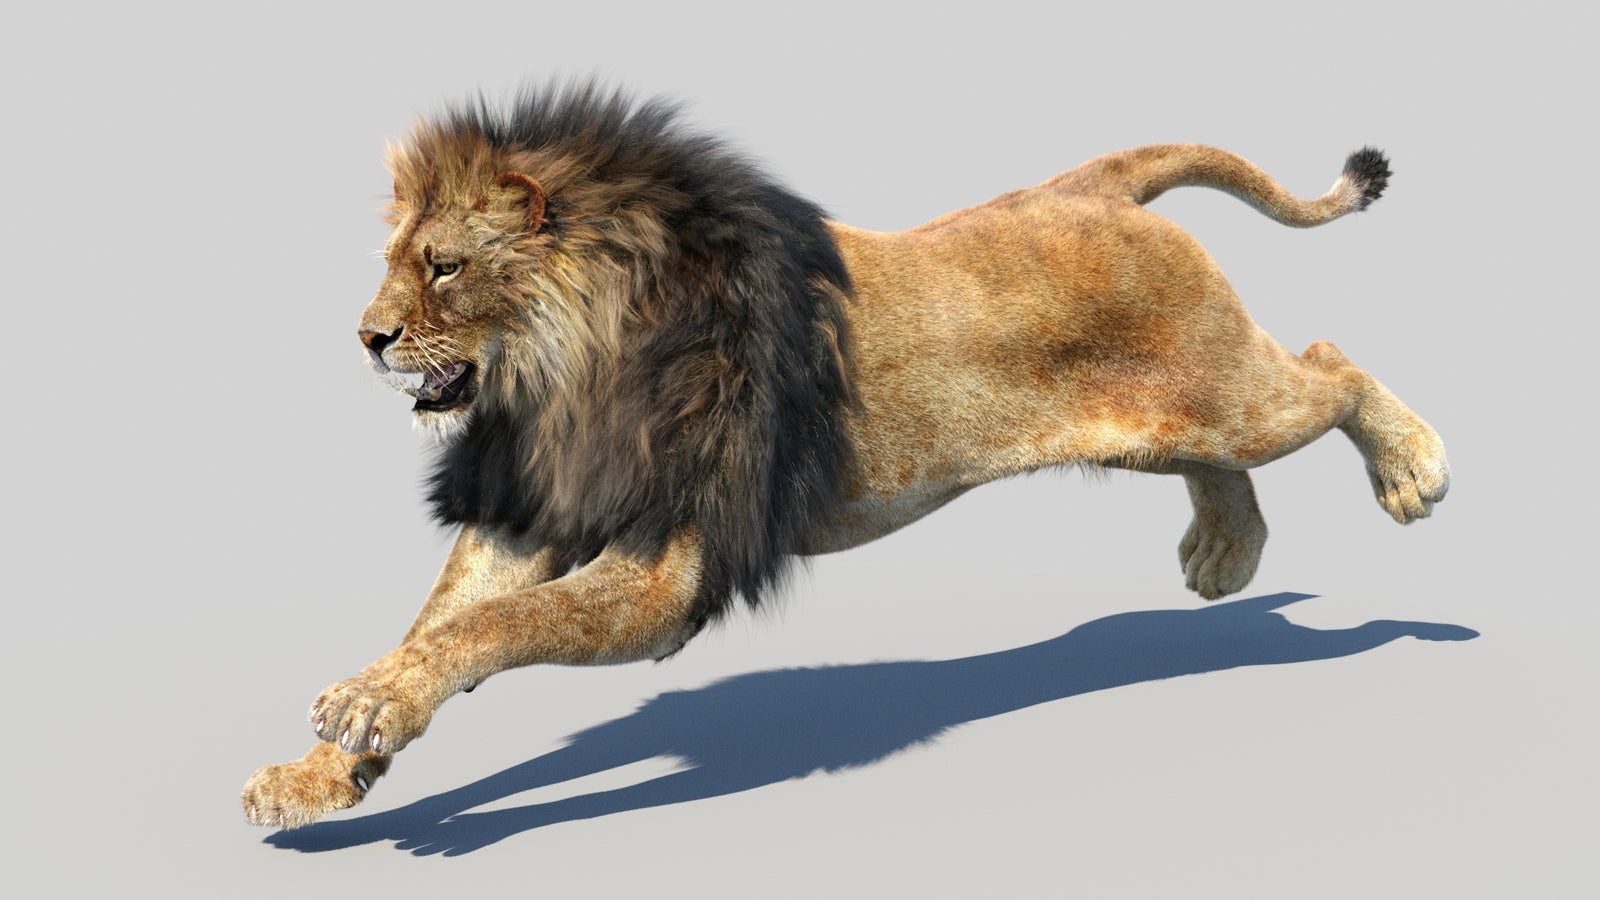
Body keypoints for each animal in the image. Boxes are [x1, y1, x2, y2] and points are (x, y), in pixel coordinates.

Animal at [242, 84, 1448, 828]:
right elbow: (436, 626)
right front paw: (324, 766)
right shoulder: (529, 509)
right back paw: (1224, 555)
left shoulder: (667, 564)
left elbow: (490, 628)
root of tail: (1088, 186)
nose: (366, 337)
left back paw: (1414, 473)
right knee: (1231, 456)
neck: (562, 379)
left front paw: (355, 720)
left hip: (1230, 396)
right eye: (394, 260)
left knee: (1328, 366)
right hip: (1166, 420)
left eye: (444, 266)